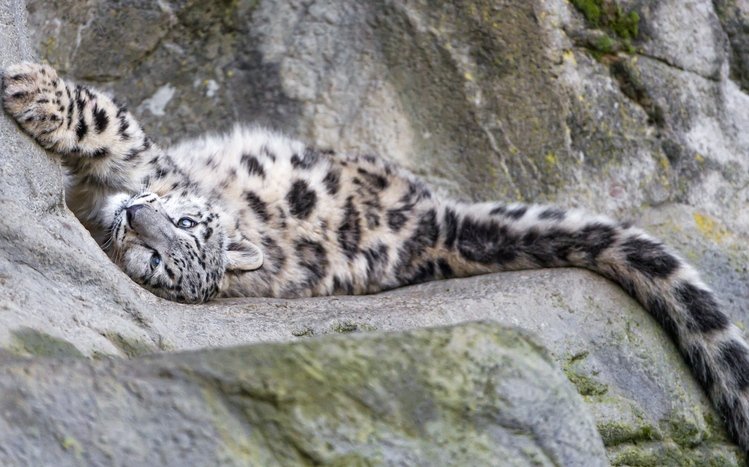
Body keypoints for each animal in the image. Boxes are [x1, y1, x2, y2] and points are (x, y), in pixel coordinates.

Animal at [3, 62, 749, 453]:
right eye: (177, 224)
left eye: (173, 246)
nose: (137, 217)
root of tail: (435, 227)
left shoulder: (141, 161)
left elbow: (103, 121)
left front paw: (27, 87)